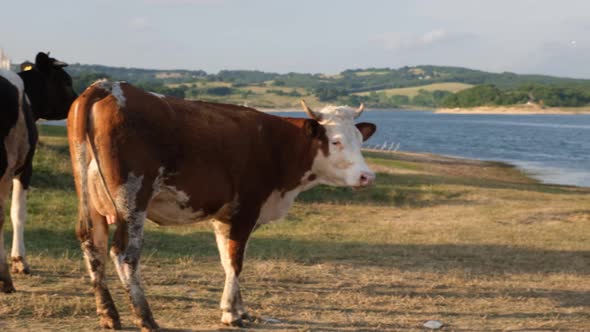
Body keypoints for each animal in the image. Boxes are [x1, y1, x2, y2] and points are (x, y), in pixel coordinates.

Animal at [67, 81, 376, 332]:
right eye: (335, 141)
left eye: (360, 140)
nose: (367, 176)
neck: (278, 144)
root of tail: (108, 86)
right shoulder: (246, 210)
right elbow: (236, 260)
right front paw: (231, 314)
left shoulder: (225, 217)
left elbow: (228, 261)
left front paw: (240, 310)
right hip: (132, 199)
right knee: (123, 253)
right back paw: (145, 318)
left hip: (91, 202)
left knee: (92, 243)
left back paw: (108, 315)